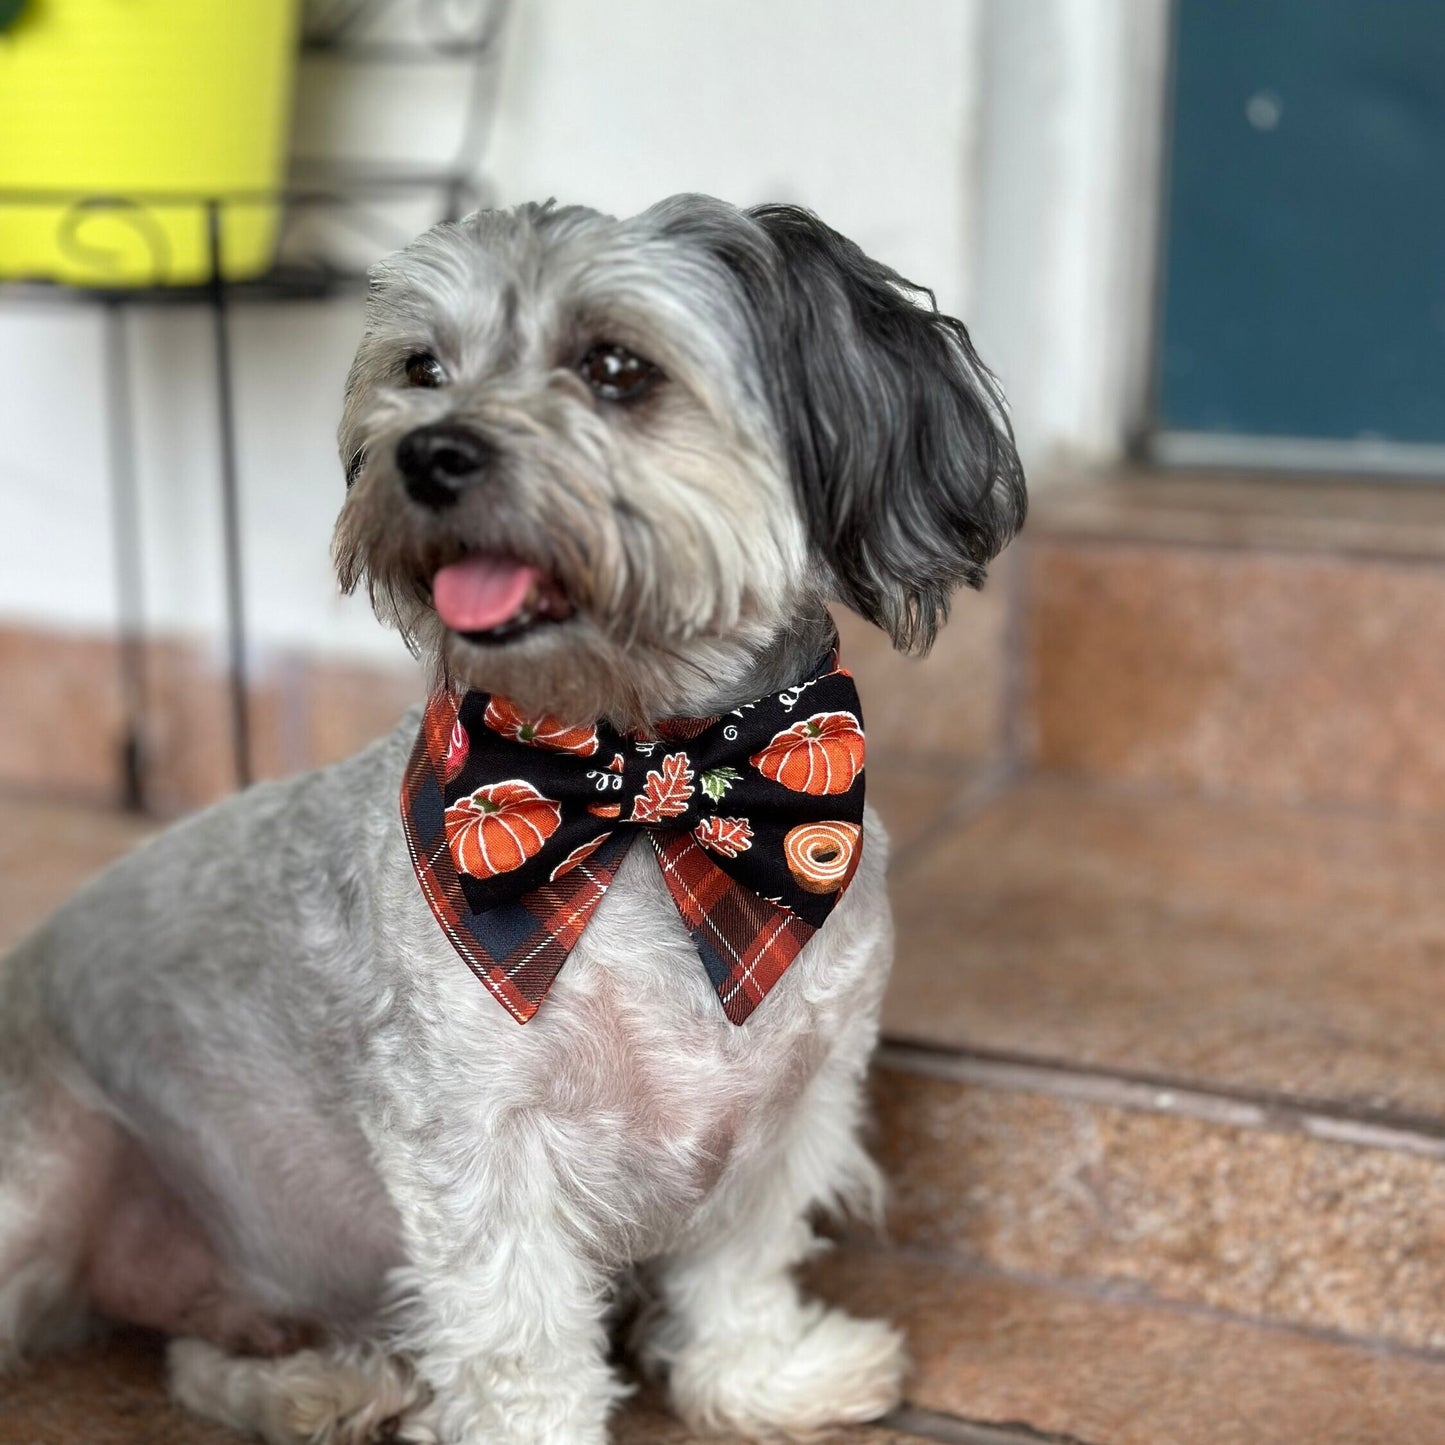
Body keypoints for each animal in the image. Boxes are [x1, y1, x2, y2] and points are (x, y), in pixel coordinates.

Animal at [0, 195, 1023, 1445]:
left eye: (616, 367)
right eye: (422, 368)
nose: (425, 451)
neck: (643, 798)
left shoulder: (795, 1102)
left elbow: (739, 1262)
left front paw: (759, 1372)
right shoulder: (476, 1145)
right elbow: (515, 1334)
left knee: (196, 1355)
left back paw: (316, 1383)